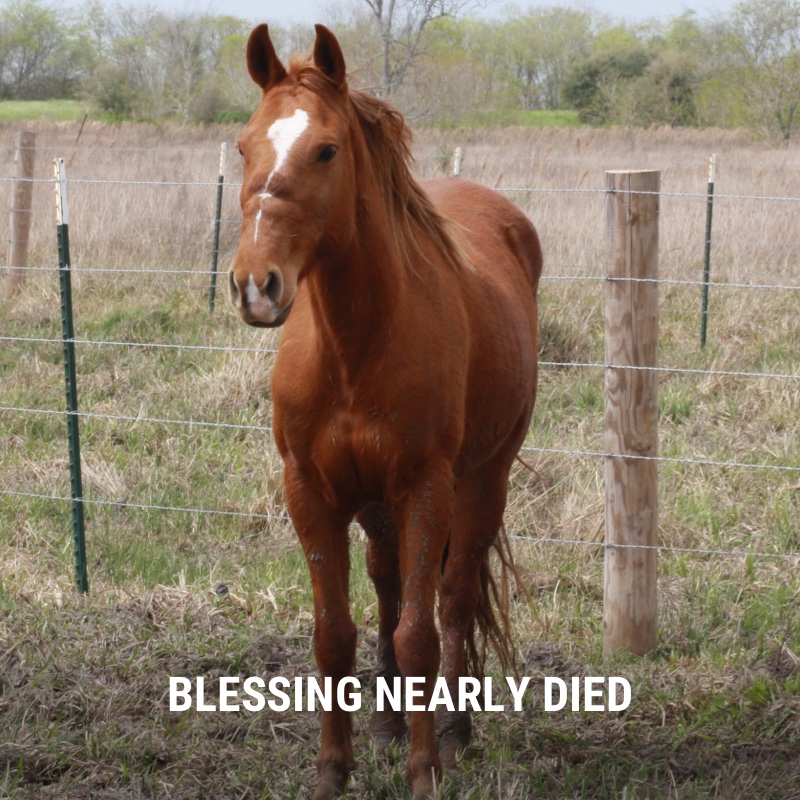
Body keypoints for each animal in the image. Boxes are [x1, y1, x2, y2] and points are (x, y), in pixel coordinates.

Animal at [227, 24, 542, 800]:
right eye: (244, 147)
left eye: (326, 150)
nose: (255, 286)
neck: (355, 345)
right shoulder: (310, 491)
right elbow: (334, 632)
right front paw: (333, 768)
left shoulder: (425, 488)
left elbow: (421, 633)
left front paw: (424, 770)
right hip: (373, 505)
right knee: (390, 584)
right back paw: (385, 722)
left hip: (482, 481)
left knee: (451, 600)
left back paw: (453, 732)